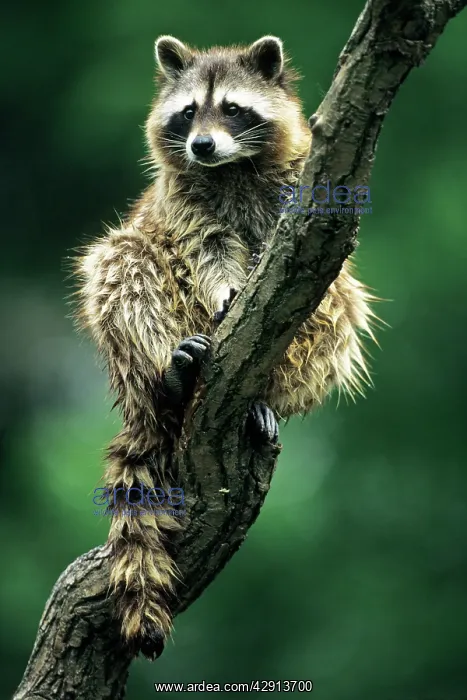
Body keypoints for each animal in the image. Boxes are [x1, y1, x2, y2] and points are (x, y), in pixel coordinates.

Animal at [75, 35, 377, 658]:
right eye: (189, 112)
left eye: (233, 109)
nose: (202, 145)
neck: (232, 167)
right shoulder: (184, 200)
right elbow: (205, 249)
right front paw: (223, 287)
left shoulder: (302, 189)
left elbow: (321, 272)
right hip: (137, 311)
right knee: (123, 261)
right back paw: (169, 378)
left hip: (325, 319)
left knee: (343, 305)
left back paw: (267, 395)